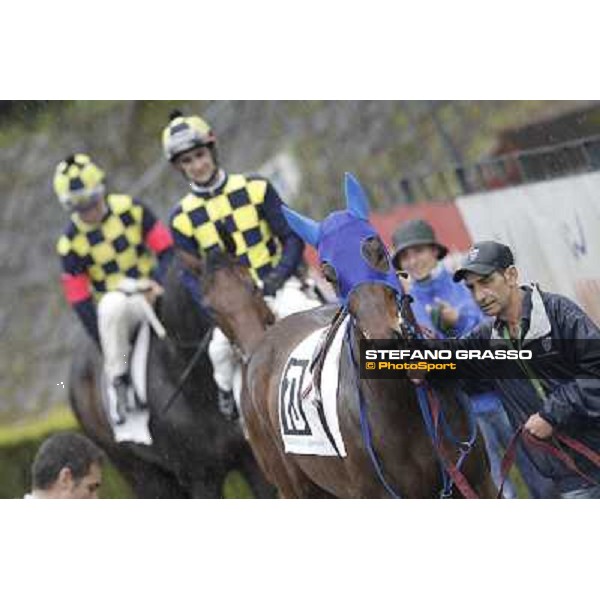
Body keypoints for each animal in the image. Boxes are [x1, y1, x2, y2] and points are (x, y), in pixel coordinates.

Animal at [68, 256, 272, 496]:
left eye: (253, 286)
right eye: (209, 308)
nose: (257, 345)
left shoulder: (252, 460)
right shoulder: (201, 478)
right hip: (137, 470)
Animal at [234, 176, 496, 500]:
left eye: (379, 251)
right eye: (329, 275)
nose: (383, 339)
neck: (405, 405)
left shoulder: (478, 480)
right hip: (294, 488)